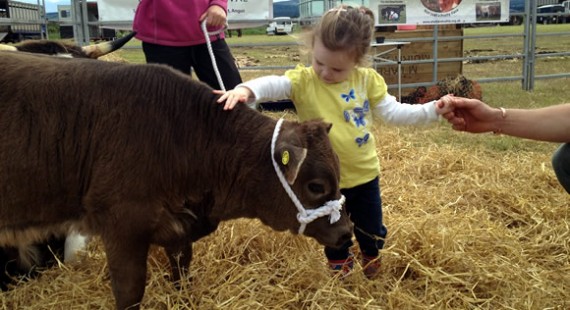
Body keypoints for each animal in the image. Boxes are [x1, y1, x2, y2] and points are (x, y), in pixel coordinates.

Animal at [0, 52, 350, 308]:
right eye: (316, 186)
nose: (346, 233)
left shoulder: (179, 228)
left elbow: (181, 271)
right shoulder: (123, 225)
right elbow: (129, 292)